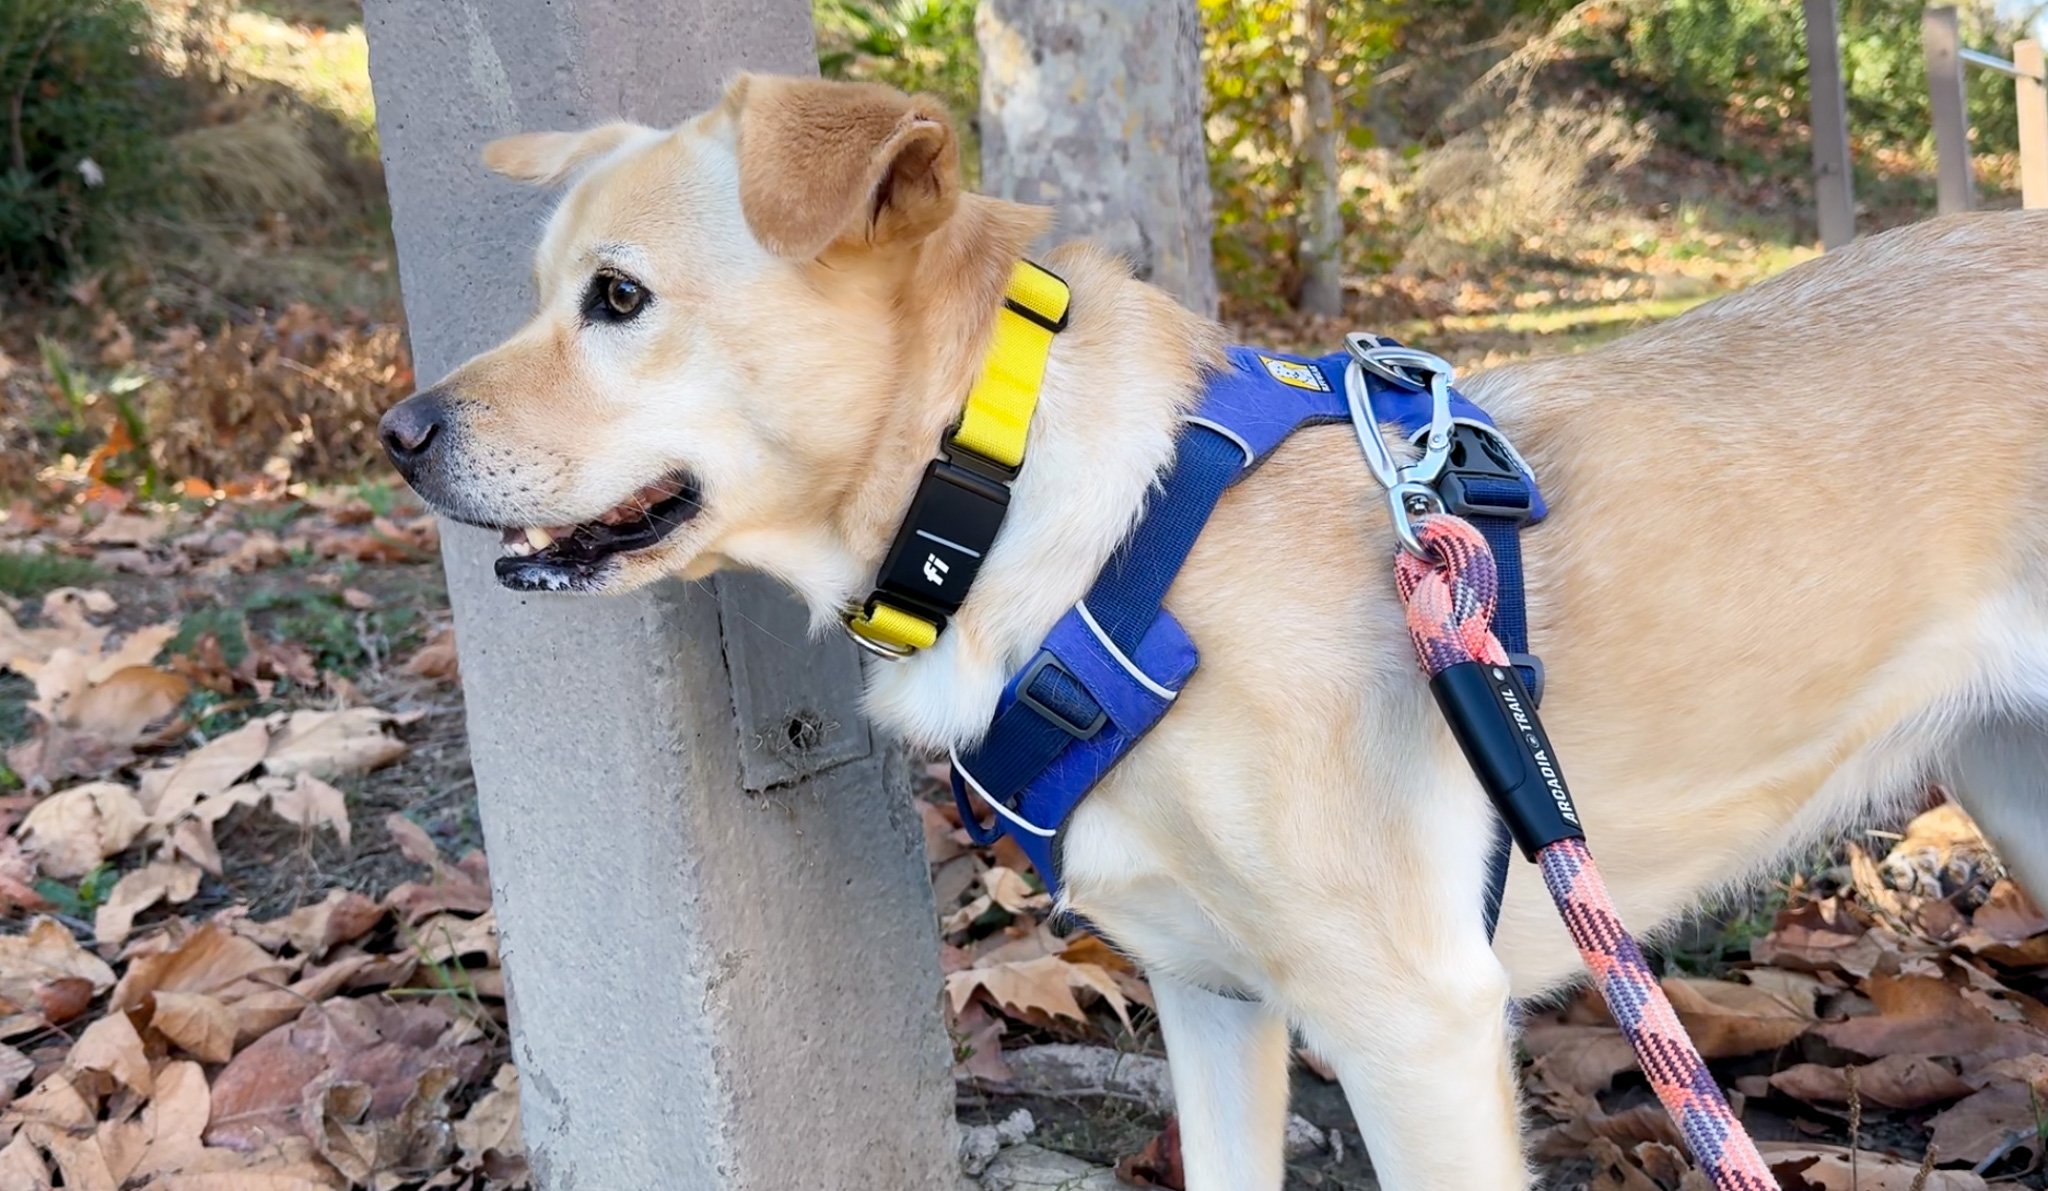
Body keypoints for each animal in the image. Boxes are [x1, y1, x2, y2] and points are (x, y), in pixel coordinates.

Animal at [376, 74, 2048, 1191]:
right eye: (544, 291)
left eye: (618, 298)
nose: (397, 433)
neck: (1061, 531)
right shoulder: (1213, 994)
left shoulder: (1417, 1026)